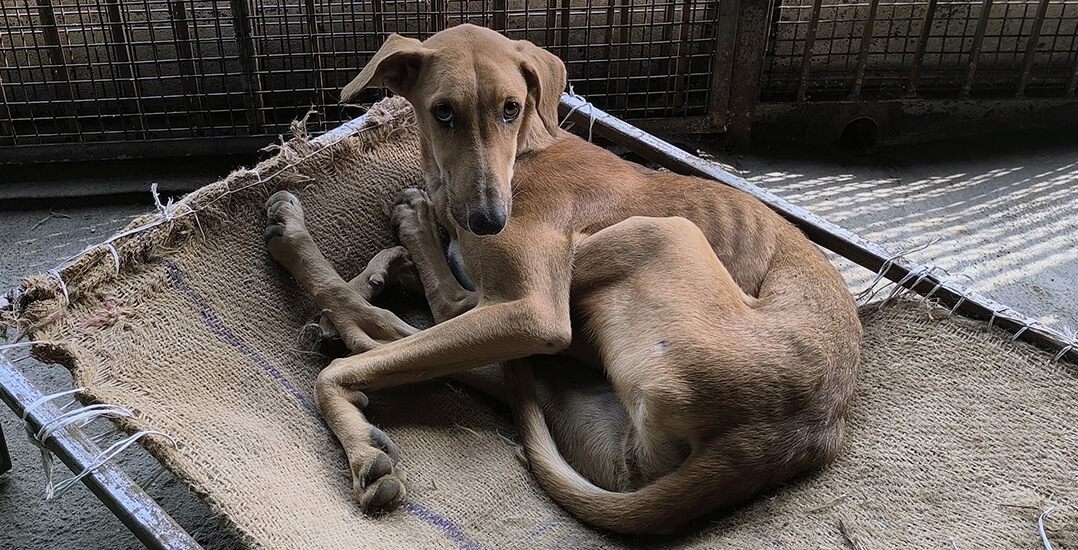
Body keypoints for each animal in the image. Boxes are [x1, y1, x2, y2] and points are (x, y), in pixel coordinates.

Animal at [265, 23, 862, 534]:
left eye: (511, 108)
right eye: (443, 113)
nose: (489, 220)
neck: (528, 149)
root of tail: (778, 439)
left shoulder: (533, 310)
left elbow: (424, 290)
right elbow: (402, 263)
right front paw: (382, 268)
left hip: (643, 238)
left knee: (416, 321)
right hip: (579, 402)